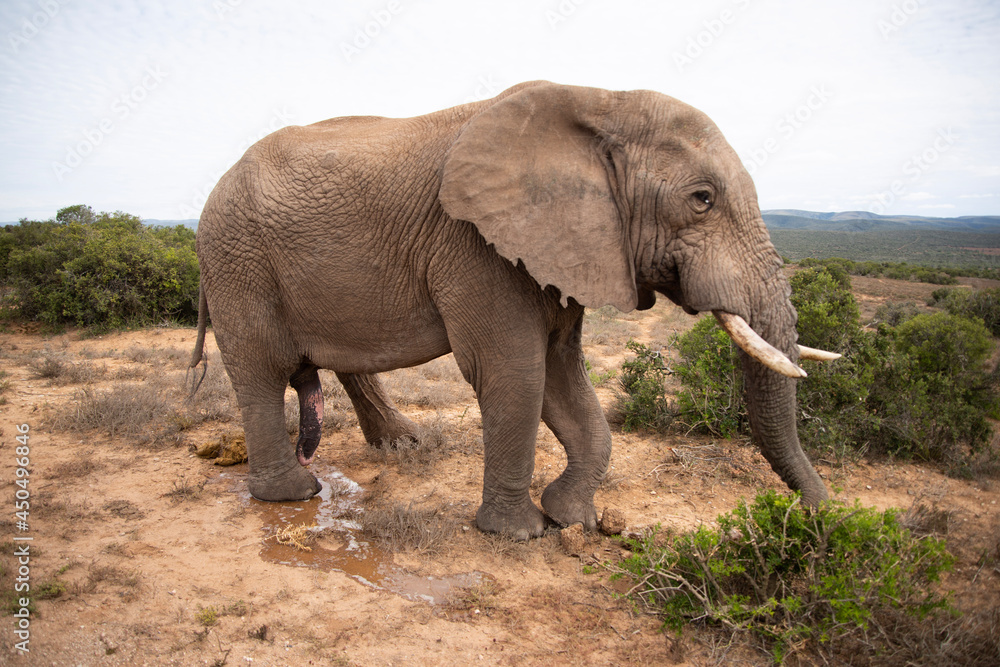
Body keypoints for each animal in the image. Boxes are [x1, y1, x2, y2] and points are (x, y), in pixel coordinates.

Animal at [189, 81, 839, 540]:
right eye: (702, 200)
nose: (813, 514)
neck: (600, 101)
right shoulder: (478, 245)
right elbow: (516, 373)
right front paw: (519, 533)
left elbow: (562, 376)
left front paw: (572, 517)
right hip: (237, 260)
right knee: (261, 372)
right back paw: (294, 495)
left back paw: (404, 448)